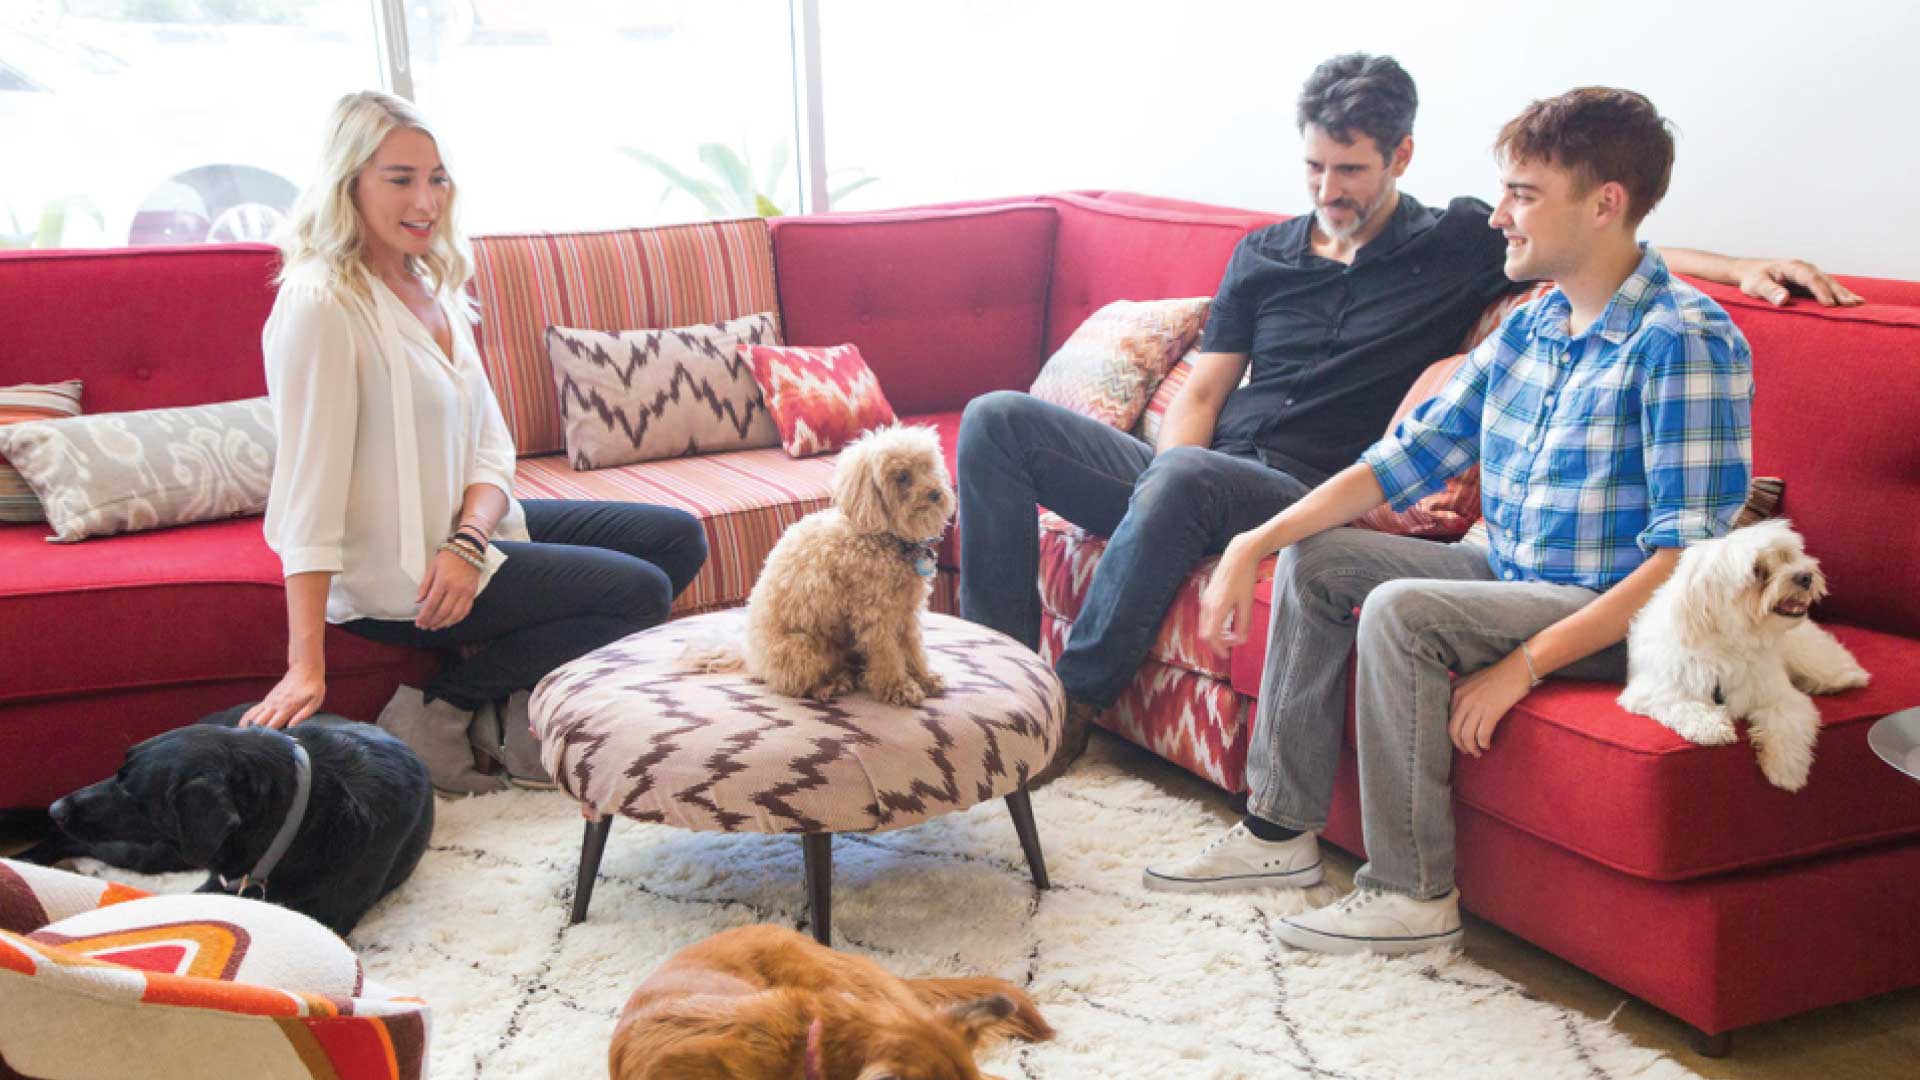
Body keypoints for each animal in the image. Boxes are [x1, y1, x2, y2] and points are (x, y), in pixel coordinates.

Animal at [1620, 518, 1873, 787]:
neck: (1731, 645)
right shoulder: (1653, 691)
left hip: (1806, 654)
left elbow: (1787, 723)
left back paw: (1843, 679)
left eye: (1787, 557)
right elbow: (1683, 705)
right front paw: (1712, 728)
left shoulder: (1780, 696)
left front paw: (1786, 770)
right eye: (1757, 571)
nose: (1805, 576)